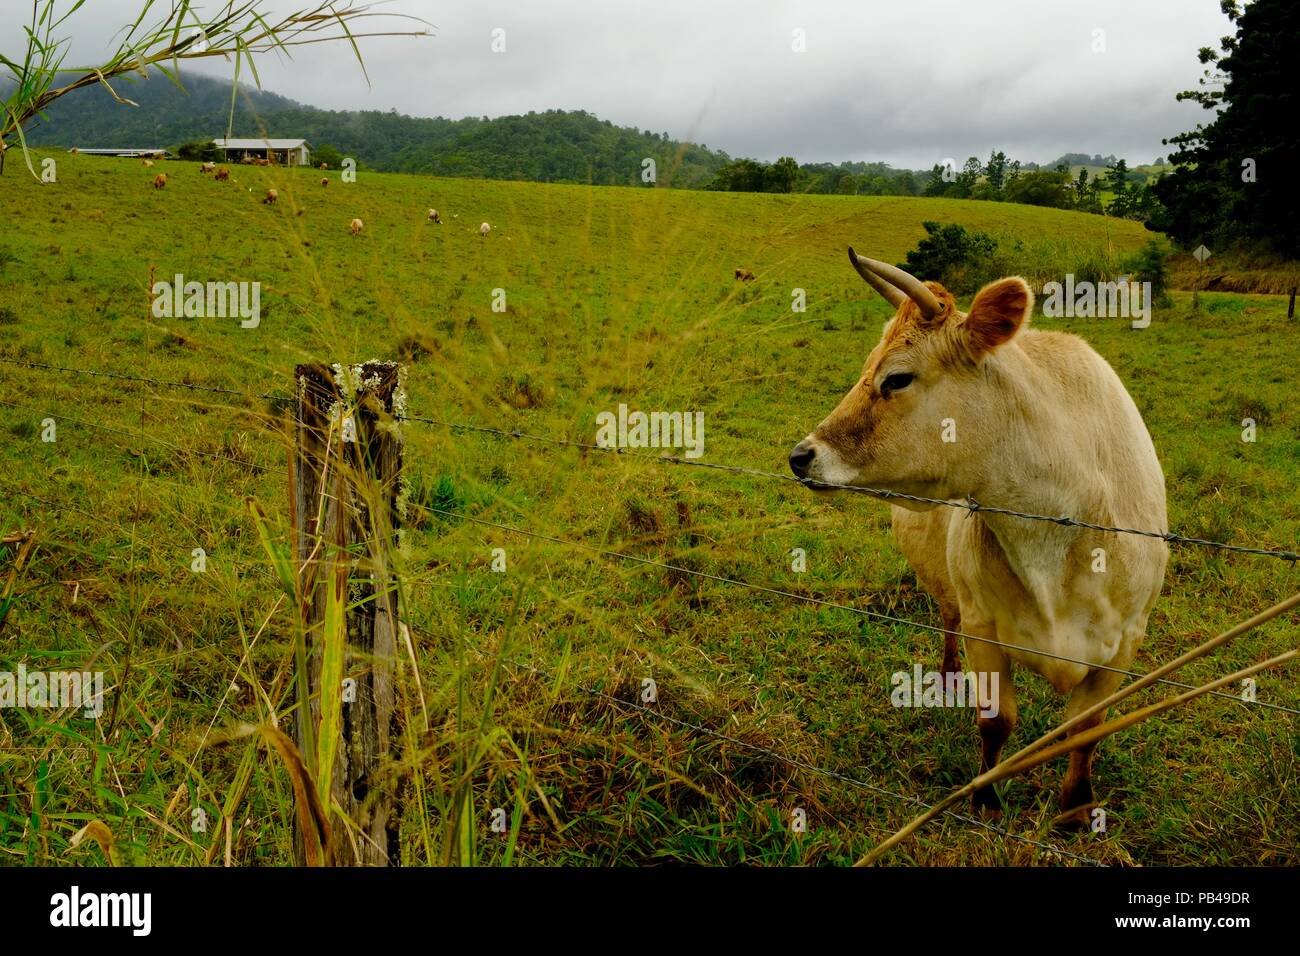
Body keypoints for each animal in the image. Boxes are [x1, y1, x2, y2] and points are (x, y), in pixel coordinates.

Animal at [785, 248, 1175, 822]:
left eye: (896, 379)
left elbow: (1084, 733)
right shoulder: (982, 627)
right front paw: (987, 796)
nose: (801, 456)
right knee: (946, 620)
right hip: (947, 590)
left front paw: (1075, 811)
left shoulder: (1125, 642)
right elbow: (996, 721)